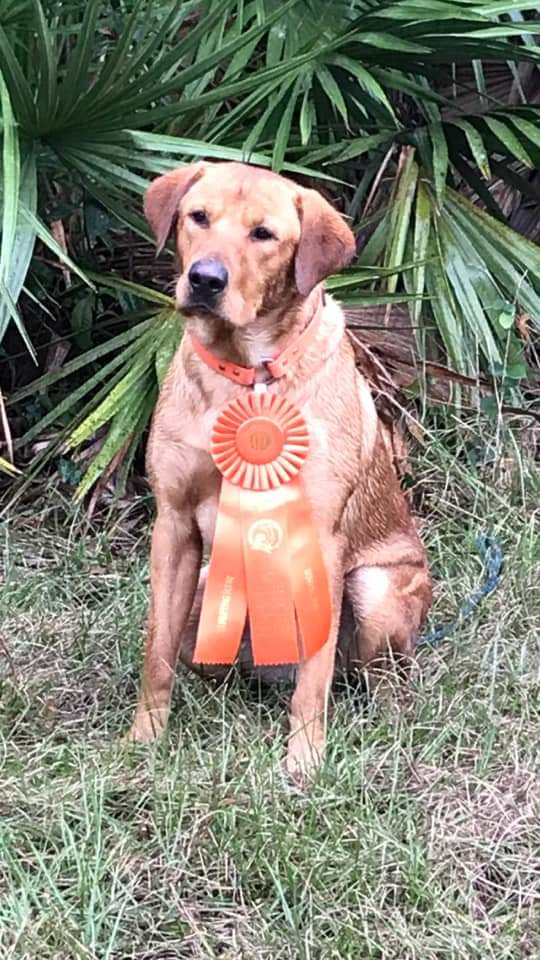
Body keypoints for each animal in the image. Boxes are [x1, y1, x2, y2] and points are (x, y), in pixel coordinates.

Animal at [127, 161, 430, 784]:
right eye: (198, 217)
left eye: (263, 234)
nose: (205, 279)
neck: (246, 374)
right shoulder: (172, 526)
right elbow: (156, 652)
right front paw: (144, 738)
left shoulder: (321, 544)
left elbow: (314, 677)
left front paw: (304, 761)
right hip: (204, 589)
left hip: (375, 587)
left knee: (372, 676)